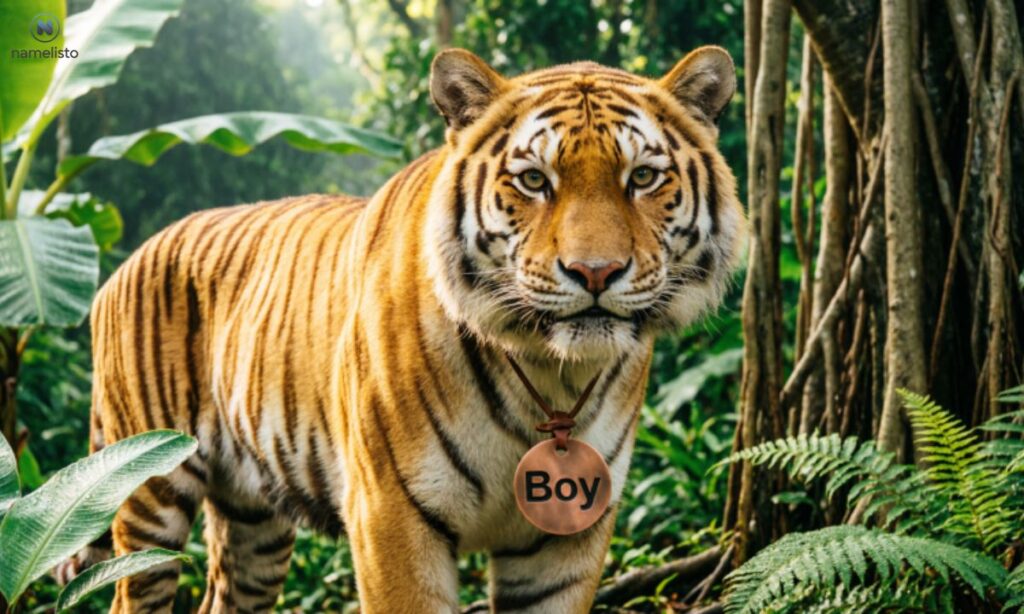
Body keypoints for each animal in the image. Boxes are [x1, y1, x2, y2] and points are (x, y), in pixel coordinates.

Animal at [69, 46, 744, 613]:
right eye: (534, 180)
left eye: (643, 178)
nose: (595, 271)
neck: (550, 374)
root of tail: (124, 261)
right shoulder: (390, 517)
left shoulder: (565, 539)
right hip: (147, 491)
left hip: (255, 524)